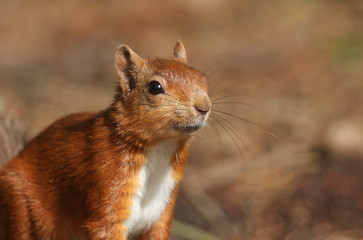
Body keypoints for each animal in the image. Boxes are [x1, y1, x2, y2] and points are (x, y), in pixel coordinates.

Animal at [0, 40, 210, 239]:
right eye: (154, 87)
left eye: (202, 77)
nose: (204, 107)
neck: (160, 148)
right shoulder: (107, 176)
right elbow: (105, 226)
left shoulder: (161, 209)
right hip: (19, 207)